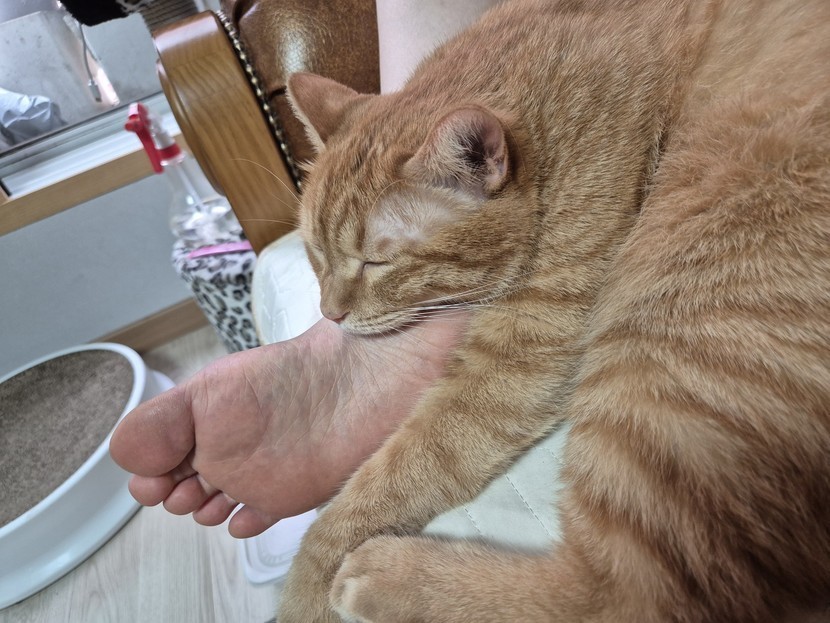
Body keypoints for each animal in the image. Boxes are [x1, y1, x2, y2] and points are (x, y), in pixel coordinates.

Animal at [276, 0, 830, 620]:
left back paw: (391, 577)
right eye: (314, 255)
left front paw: (307, 584)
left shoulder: (520, 354)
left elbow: (398, 471)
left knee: (624, 594)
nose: (330, 315)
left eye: (376, 262)